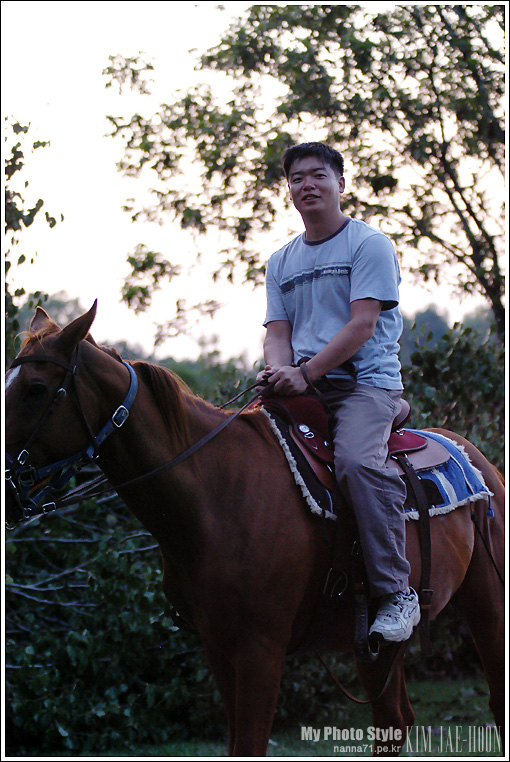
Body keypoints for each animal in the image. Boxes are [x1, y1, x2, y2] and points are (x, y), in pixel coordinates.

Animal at [5, 302, 505, 757]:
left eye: (35, 388)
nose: (8, 483)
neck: (216, 492)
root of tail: (474, 457)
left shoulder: (260, 652)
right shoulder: (218, 648)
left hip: (486, 605)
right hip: (375, 645)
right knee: (393, 722)